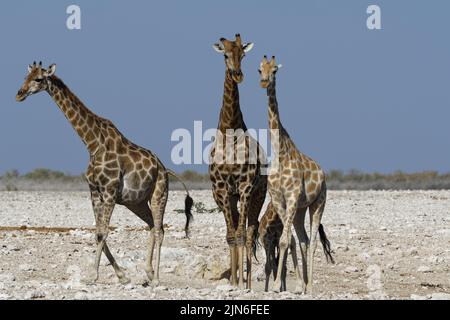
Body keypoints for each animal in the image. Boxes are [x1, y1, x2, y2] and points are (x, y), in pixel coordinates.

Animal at [13, 62, 193, 284]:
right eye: (26, 77)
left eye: (38, 79)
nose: (19, 94)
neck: (92, 144)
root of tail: (164, 169)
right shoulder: (94, 192)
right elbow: (98, 232)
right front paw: (122, 275)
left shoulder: (109, 192)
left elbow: (103, 233)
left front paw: (93, 275)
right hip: (137, 202)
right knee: (152, 226)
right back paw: (149, 272)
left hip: (160, 193)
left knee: (160, 230)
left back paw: (157, 278)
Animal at [256, 56, 334, 294]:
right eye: (259, 69)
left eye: (275, 70)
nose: (264, 81)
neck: (279, 152)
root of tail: (323, 174)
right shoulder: (279, 200)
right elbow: (287, 239)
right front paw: (285, 285)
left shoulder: (290, 198)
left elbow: (283, 241)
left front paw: (275, 286)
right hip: (300, 209)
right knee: (303, 240)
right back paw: (305, 286)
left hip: (318, 202)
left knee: (314, 241)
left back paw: (312, 287)